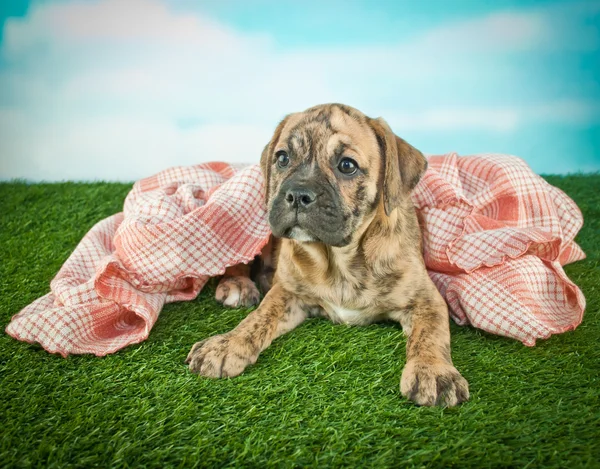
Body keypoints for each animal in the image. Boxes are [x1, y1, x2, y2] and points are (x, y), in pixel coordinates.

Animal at [186, 102, 468, 406]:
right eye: (282, 158)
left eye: (347, 165)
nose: (297, 195)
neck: (339, 259)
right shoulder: (287, 293)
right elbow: (258, 319)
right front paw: (226, 344)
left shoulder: (426, 300)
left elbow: (431, 333)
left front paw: (433, 371)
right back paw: (237, 284)